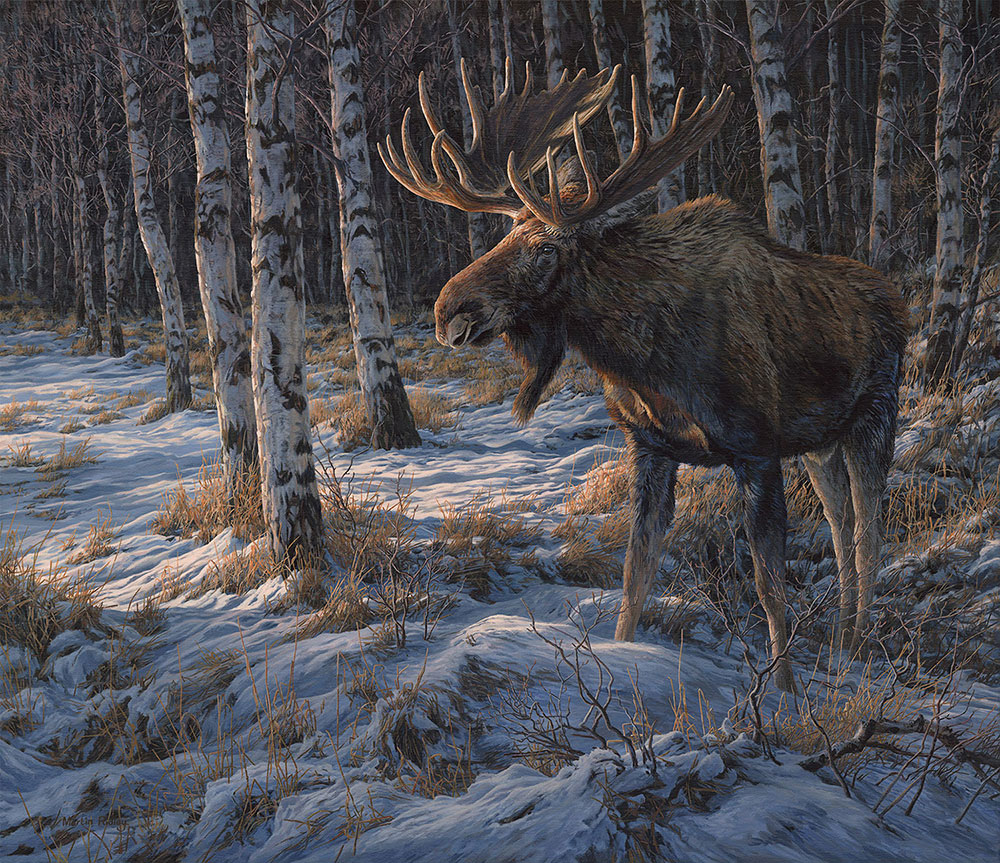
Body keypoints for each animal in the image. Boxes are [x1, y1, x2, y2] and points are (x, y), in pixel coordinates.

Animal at [380, 60, 908, 692]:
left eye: (544, 248)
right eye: (506, 236)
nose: (447, 311)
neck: (649, 365)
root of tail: (900, 303)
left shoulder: (756, 450)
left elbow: (769, 586)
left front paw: (782, 689)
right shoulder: (649, 447)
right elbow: (635, 578)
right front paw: (624, 655)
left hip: (875, 415)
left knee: (870, 531)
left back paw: (857, 646)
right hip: (819, 443)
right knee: (840, 521)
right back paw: (842, 638)